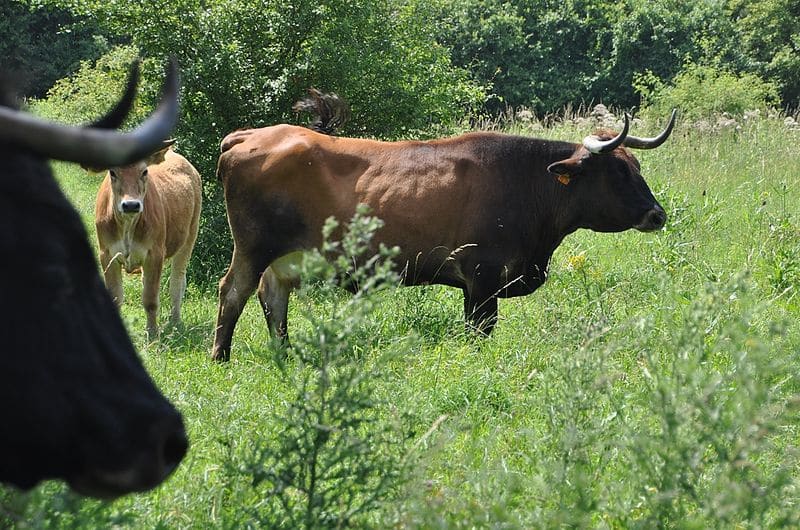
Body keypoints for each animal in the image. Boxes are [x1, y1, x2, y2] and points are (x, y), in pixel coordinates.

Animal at [94, 140, 203, 338]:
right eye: (112, 172)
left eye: (144, 171)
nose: (130, 205)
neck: (127, 225)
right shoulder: (106, 255)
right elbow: (115, 297)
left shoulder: (155, 254)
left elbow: (151, 300)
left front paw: (152, 335)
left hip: (190, 235)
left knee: (177, 282)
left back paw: (175, 322)